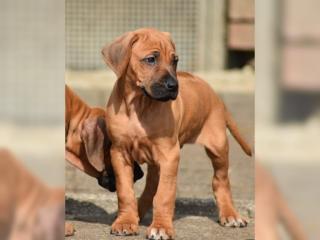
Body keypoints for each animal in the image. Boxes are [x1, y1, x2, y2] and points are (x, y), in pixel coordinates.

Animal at [102, 27, 252, 239]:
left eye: (175, 61)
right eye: (151, 59)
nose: (174, 86)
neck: (139, 105)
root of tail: (215, 94)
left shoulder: (169, 156)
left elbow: (164, 195)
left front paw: (161, 227)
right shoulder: (119, 152)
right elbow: (125, 191)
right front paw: (126, 221)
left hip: (218, 146)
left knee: (220, 180)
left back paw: (230, 215)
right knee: (150, 188)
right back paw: (139, 212)